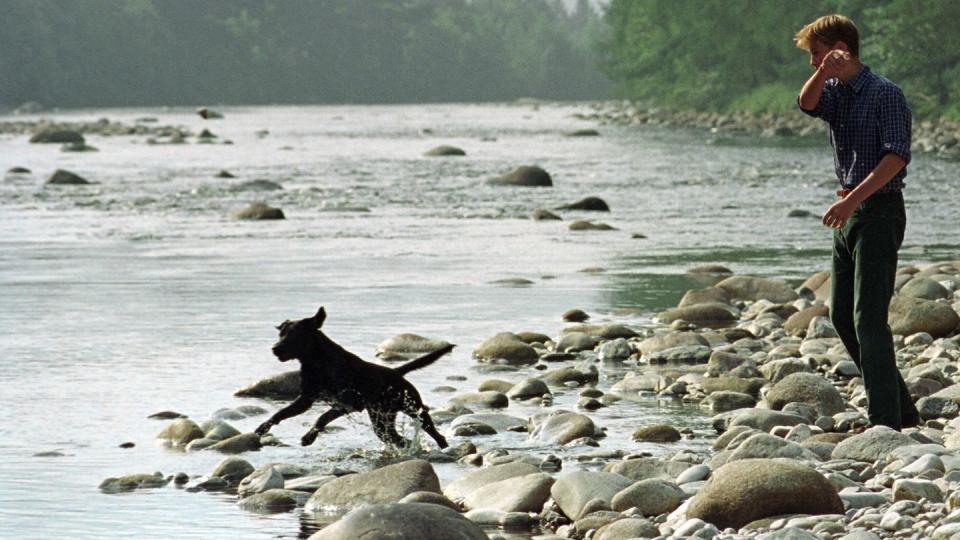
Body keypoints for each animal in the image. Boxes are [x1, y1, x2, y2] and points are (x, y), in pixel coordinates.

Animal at [253, 306, 452, 450]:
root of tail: (396, 372)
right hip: (382, 422)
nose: (275, 349)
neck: (318, 362)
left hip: (414, 410)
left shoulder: (349, 402)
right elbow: (280, 413)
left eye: (295, 335)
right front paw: (263, 427)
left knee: (436, 434)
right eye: (281, 334)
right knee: (398, 439)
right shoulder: (306, 399)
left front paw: (310, 436)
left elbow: (322, 417)